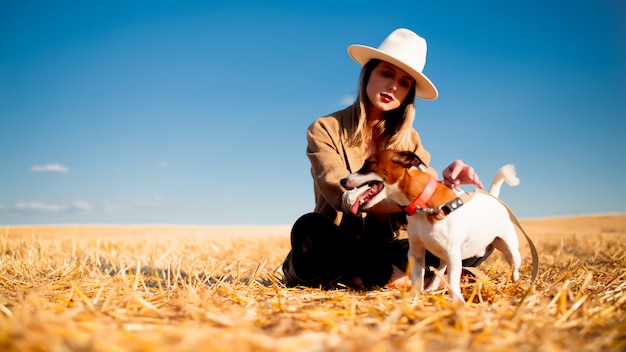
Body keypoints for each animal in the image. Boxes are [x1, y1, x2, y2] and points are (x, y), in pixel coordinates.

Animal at [338, 149, 520, 302]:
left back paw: (516, 283)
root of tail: (493, 198)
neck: (423, 205)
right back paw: (431, 287)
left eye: (369, 164)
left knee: (514, 266)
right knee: (439, 269)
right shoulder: (416, 251)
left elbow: (453, 281)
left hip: (509, 249)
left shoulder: (453, 253)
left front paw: (457, 301)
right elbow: (418, 277)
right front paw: (414, 296)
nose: (342, 180)